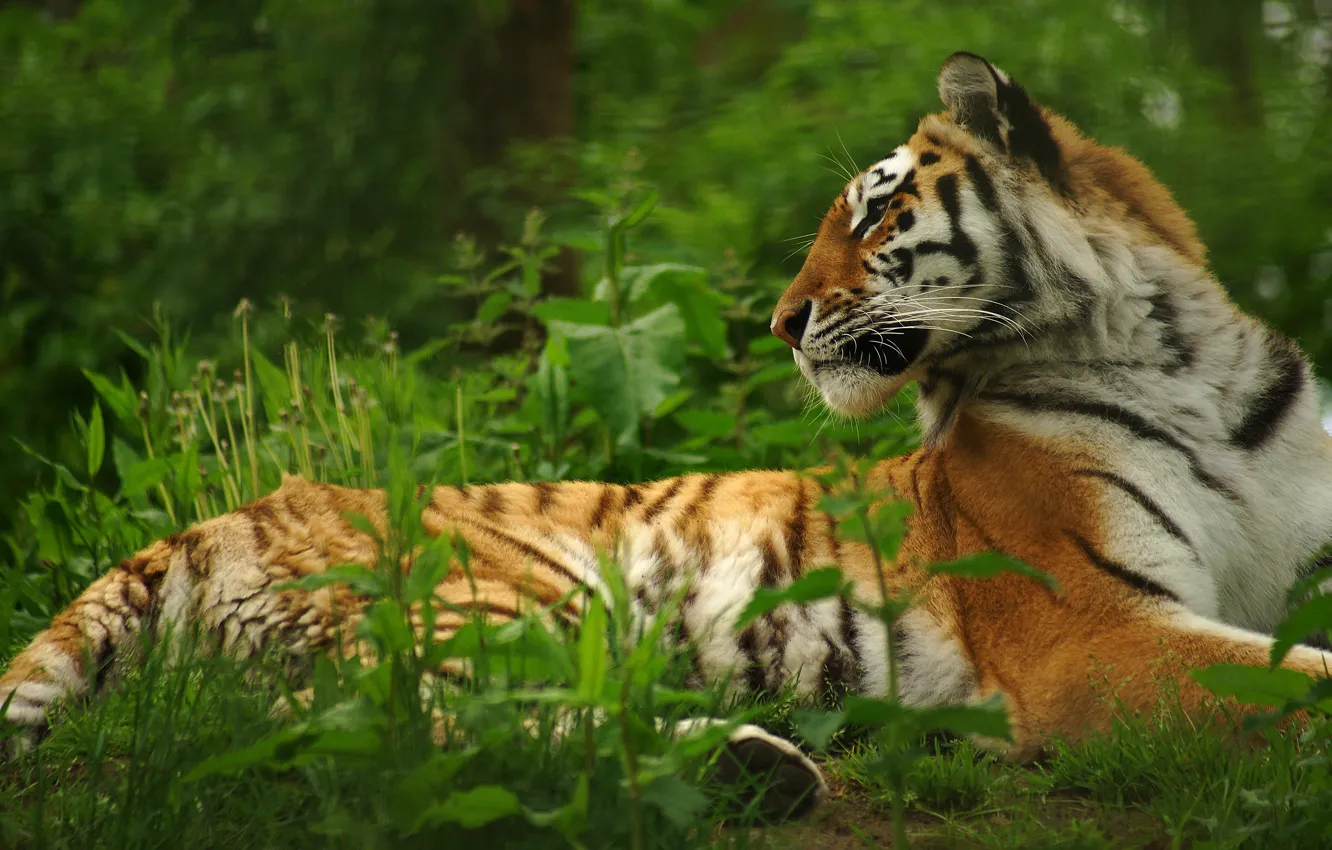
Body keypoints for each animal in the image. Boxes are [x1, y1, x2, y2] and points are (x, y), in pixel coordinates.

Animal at [5, 51, 1332, 823]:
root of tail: (217, 516)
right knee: (414, 739)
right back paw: (752, 771)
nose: (784, 321)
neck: (1179, 359)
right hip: (493, 601)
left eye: (875, 212)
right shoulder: (1091, 630)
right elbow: (1300, 684)